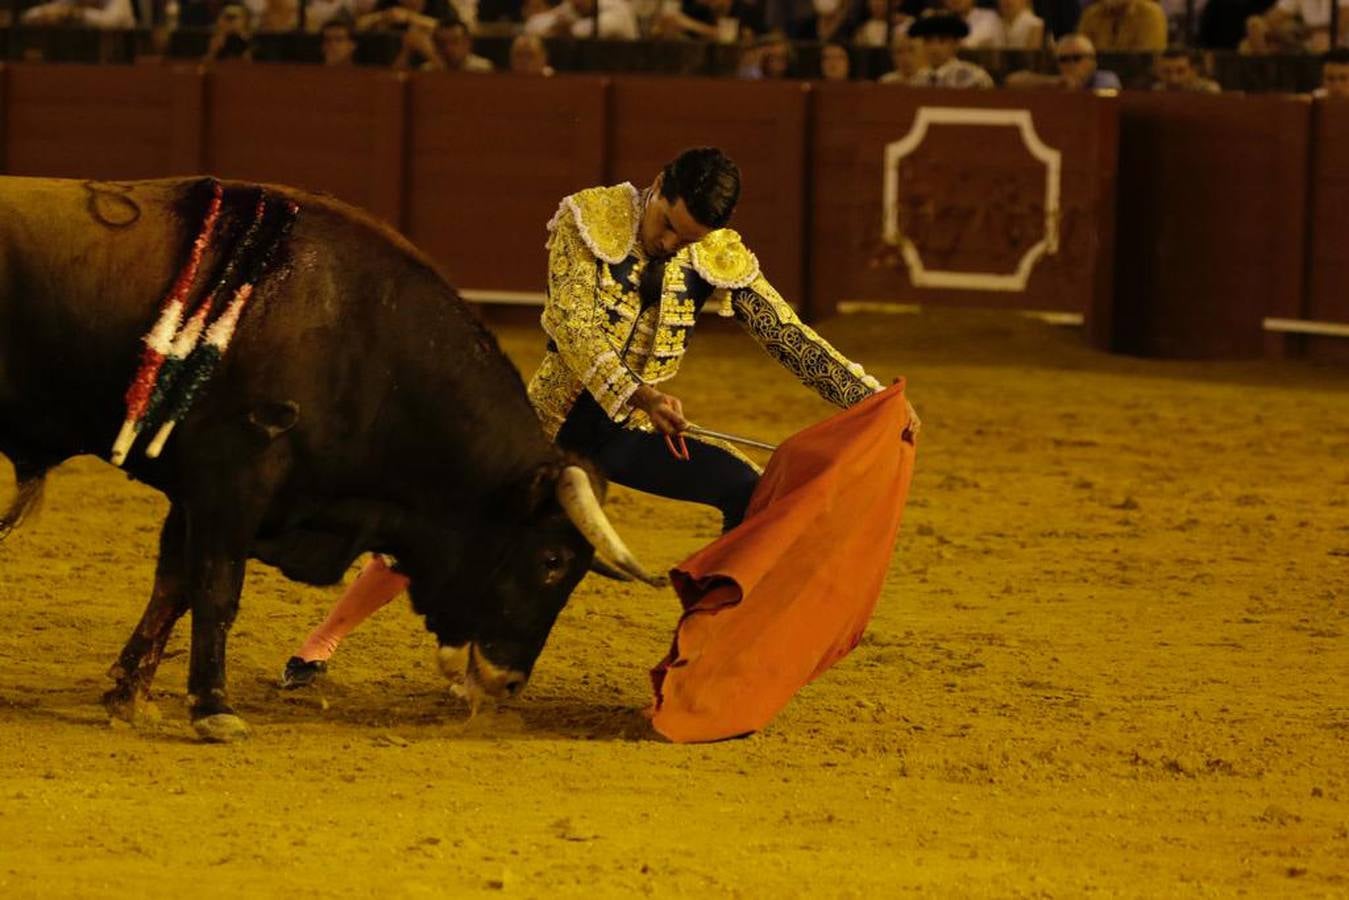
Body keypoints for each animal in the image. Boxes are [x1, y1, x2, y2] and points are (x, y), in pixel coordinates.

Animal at [0, 175, 655, 739]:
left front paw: (128, 695)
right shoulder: (232, 475)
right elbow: (216, 586)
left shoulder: (196, 492)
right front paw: (213, 708)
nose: (510, 681)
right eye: (551, 561)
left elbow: (174, 585)